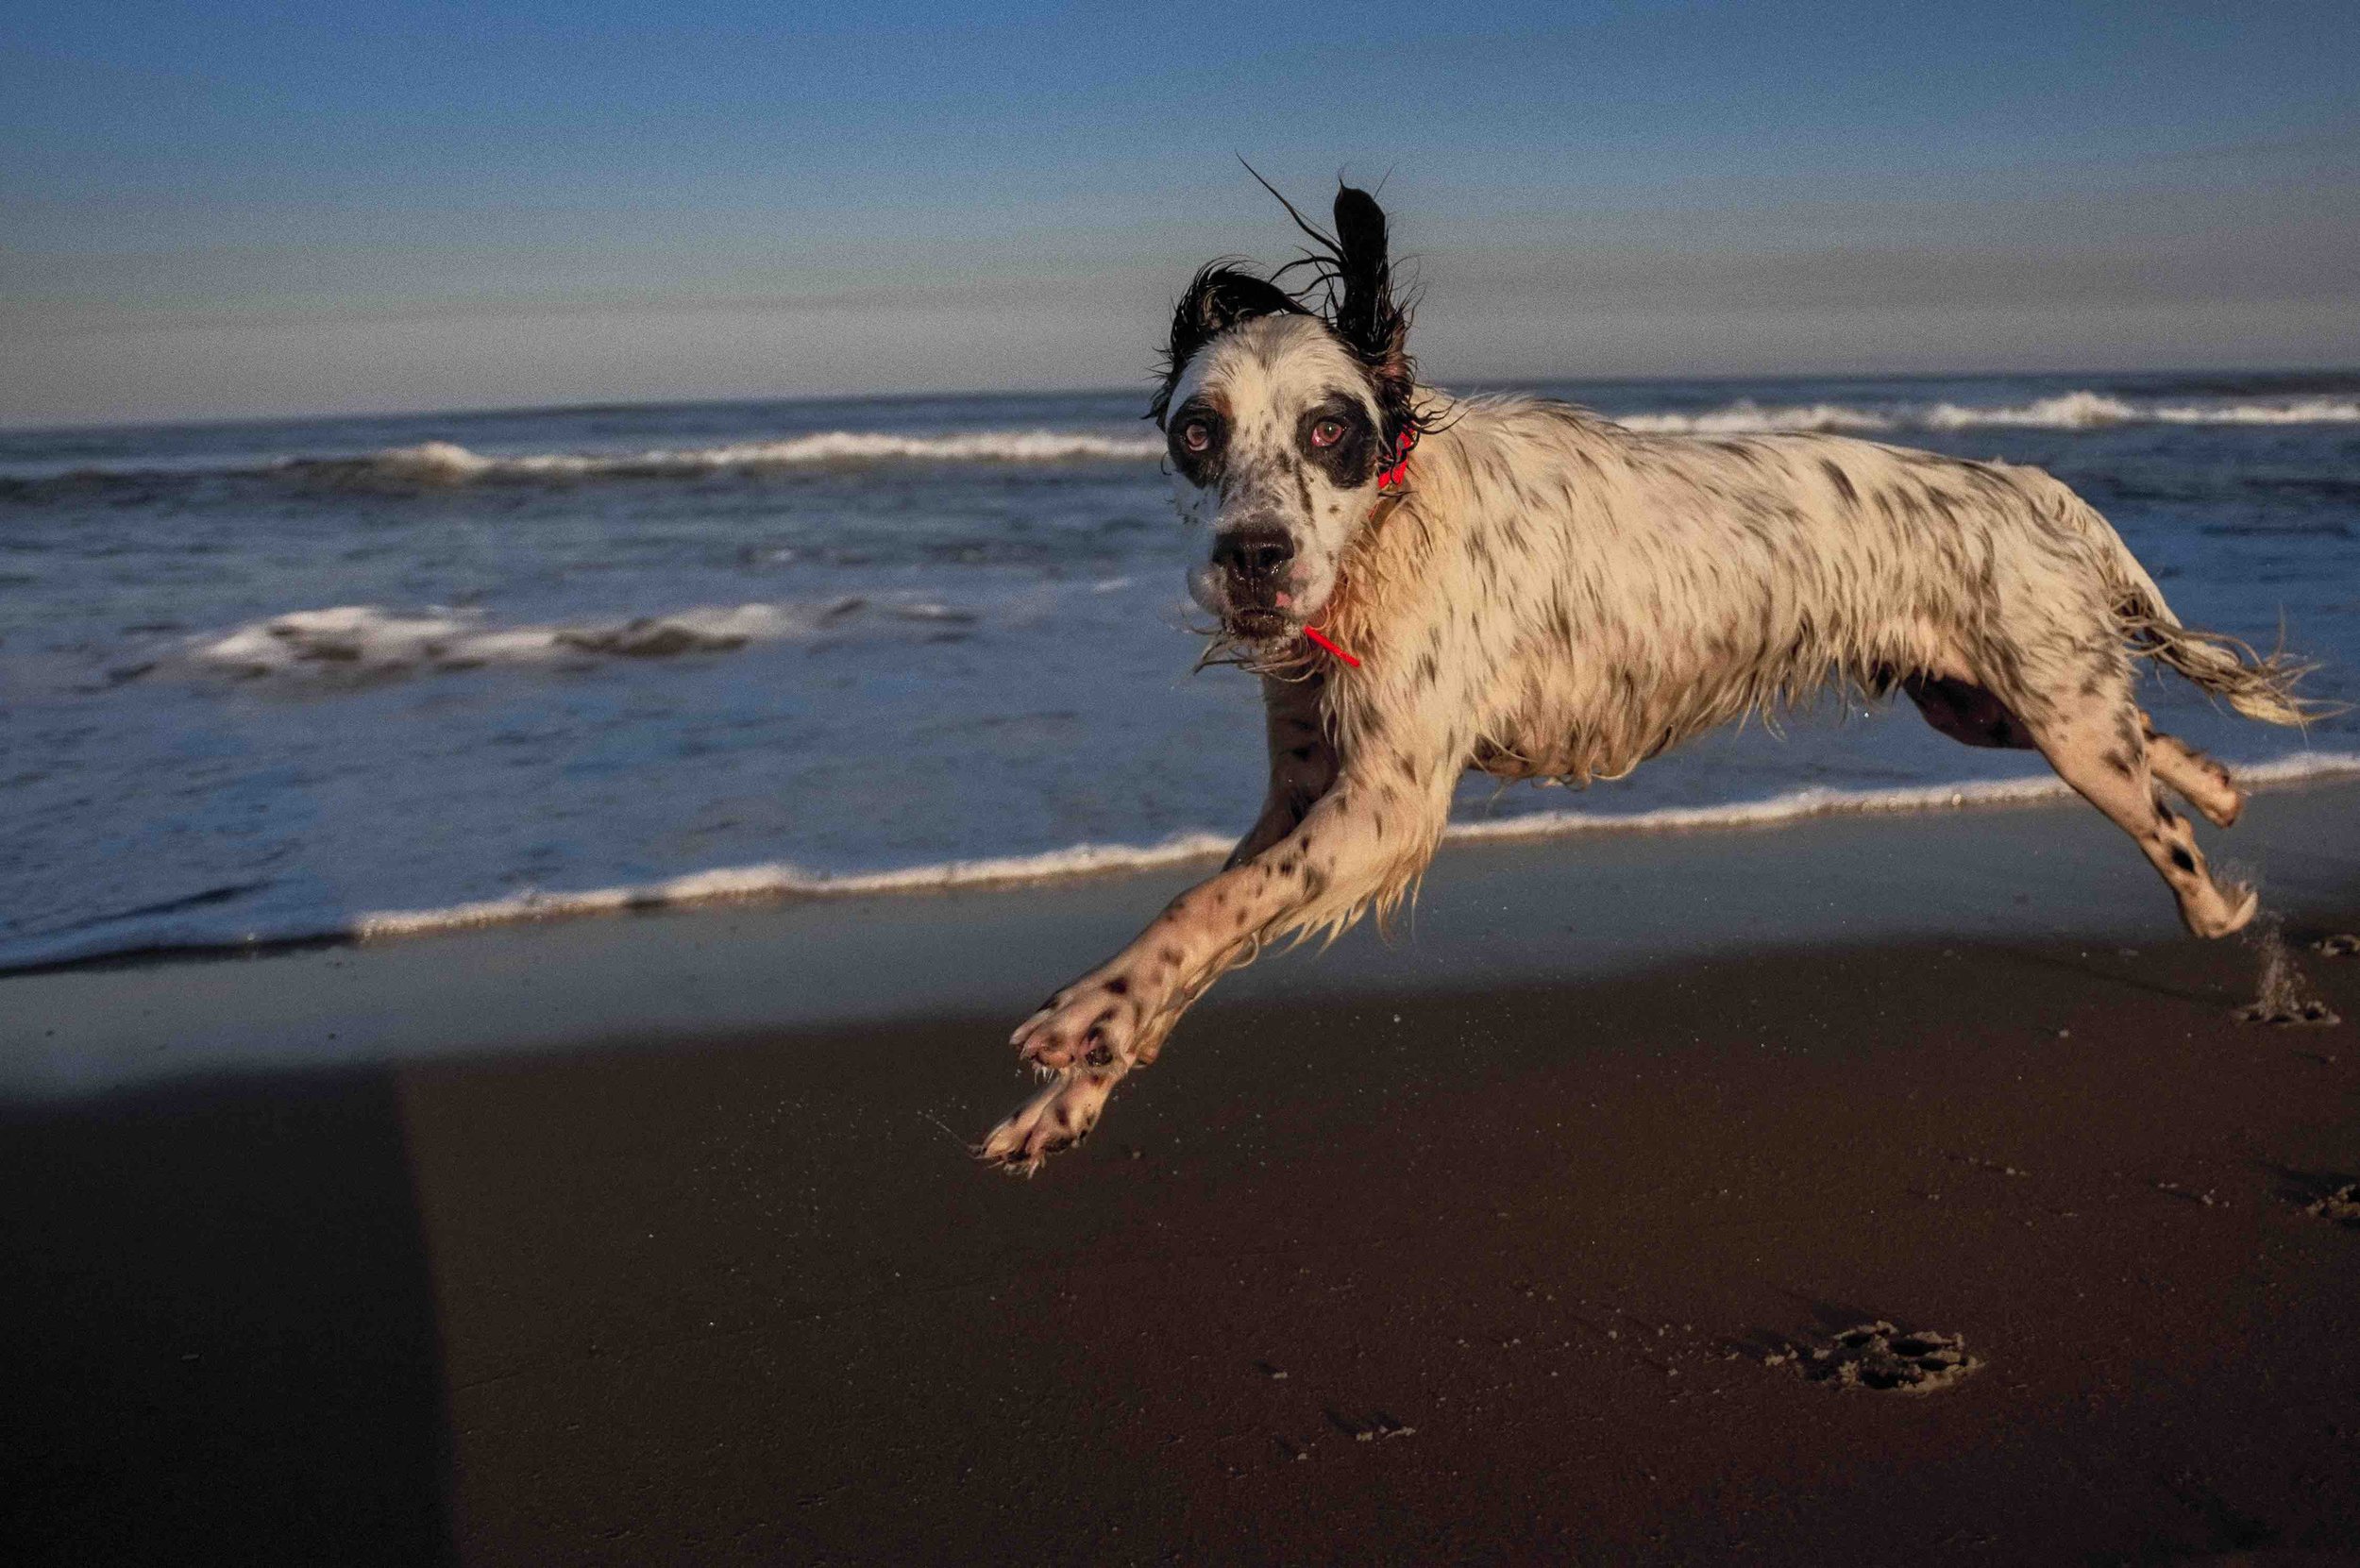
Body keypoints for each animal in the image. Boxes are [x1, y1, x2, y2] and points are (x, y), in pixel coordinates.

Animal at [972, 180, 2303, 1175]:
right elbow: (1203, 921)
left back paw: (2225, 906)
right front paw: (1073, 1093)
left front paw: (1082, 1012)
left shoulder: (1384, 805)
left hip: (2048, 717)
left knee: (2169, 843)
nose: (1251, 558)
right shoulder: (1304, 793)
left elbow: (1198, 912)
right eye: (1196, 432)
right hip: (1980, 706)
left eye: (1328, 430)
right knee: (2149, 743)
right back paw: (2223, 788)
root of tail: (2021, 482)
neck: (1389, 531)